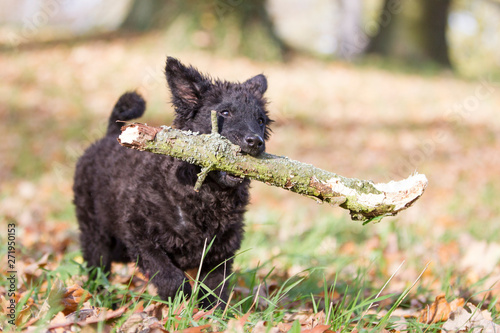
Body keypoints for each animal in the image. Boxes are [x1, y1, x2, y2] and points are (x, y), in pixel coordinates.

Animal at [72, 56, 272, 306]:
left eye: (261, 120)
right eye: (225, 112)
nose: (255, 142)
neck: (204, 197)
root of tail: (109, 135)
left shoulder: (219, 252)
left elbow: (215, 290)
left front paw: (209, 313)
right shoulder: (141, 237)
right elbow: (170, 278)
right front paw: (179, 305)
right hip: (94, 233)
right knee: (97, 266)